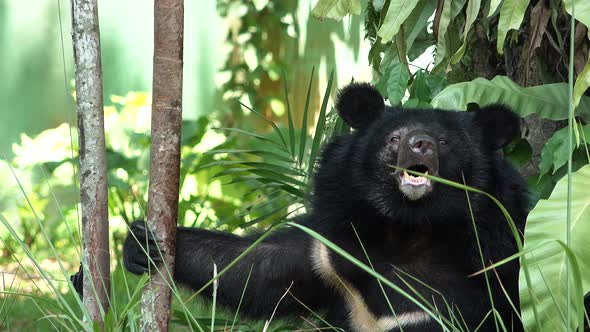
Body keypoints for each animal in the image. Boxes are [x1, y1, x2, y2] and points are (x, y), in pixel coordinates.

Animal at [122, 82, 528, 330]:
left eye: (445, 142)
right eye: (394, 138)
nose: (420, 144)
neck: (407, 225)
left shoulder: (487, 261)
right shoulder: (332, 246)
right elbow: (260, 269)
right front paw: (142, 245)